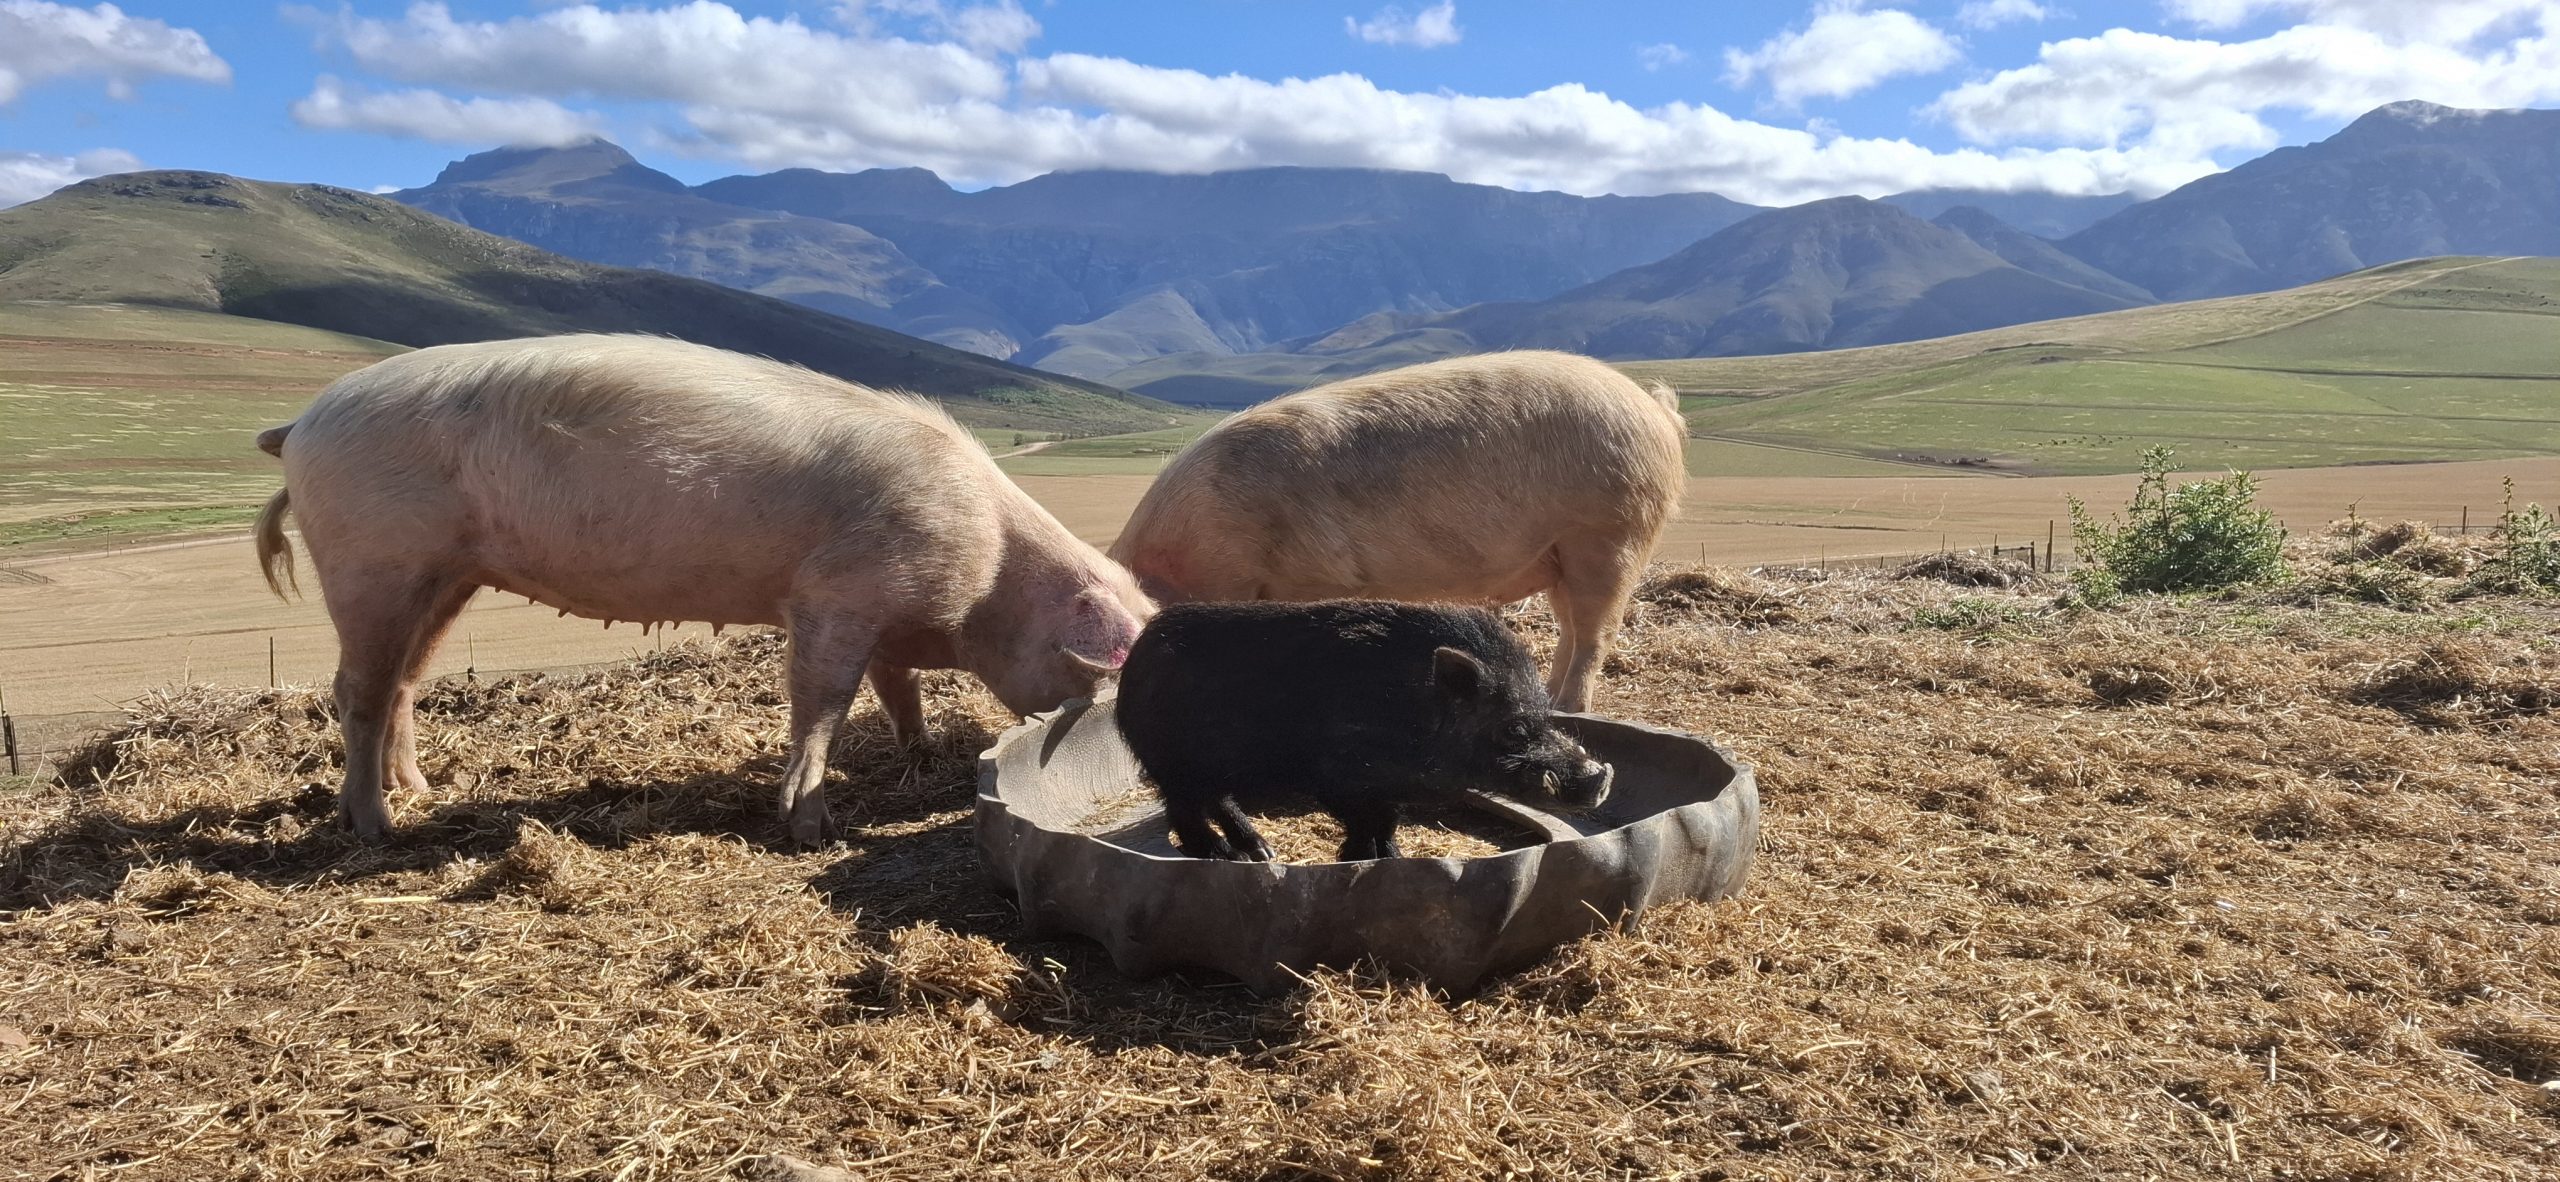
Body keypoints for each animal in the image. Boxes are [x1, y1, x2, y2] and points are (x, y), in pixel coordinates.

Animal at [252, 334, 1150, 847]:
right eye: (1099, 680)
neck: (988, 577)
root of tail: (299, 425)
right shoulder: (835, 594)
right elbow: (823, 704)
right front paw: (809, 828)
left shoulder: (885, 615)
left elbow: (896, 689)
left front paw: (918, 751)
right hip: (373, 560)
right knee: (357, 689)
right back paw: (376, 829)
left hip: (447, 576)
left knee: (404, 680)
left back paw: (422, 790)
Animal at [1108, 350, 1687, 713]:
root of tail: (1654, 408)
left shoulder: (1299, 573)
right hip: (1560, 553)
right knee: (1570, 628)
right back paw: (1549, 697)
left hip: (1610, 530)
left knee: (1596, 632)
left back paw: (1570, 707)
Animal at [1113, 600, 1612, 863]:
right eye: (1514, 728)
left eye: (1546, 718)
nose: (1597, 776)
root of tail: (1135, 661)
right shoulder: (1336, 777)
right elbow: (1361, 819)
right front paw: (1354, 858)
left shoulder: (1388, 786)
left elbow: (1386, 820)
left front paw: (1393, 857)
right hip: (1171, 762)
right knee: (1184, 810)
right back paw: (1223, 855)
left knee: (1219, 800)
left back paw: (1262, 852)